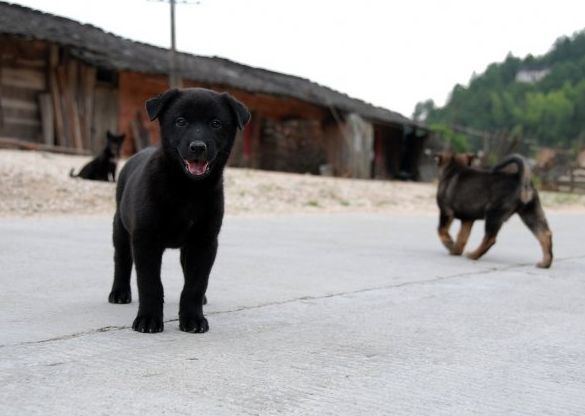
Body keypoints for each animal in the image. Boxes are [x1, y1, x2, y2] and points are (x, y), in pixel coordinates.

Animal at [108, 88, 250, 334]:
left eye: (216, 123)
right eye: (181, 121)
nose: (198, 147)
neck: (187, 189)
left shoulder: (204, 241)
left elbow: (196, 283)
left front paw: (193, 318)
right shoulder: (146, 239)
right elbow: (150, 283)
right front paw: (148, 319)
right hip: (121, 228)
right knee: (122, 261)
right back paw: (119, 293)